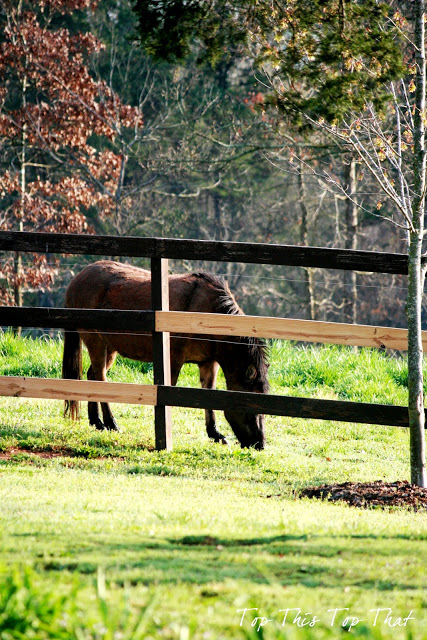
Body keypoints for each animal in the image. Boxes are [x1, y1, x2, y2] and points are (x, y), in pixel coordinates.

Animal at [61, 260, 270, 450]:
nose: (259, 443)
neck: (207, 312)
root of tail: (76, 280)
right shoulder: (173, 361)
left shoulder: (208, 363)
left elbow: (208, 394)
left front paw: (215, 434)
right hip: (95, 342)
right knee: (101, 378)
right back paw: (111, 422)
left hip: (109, 348)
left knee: (93, 376)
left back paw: (96, 421)